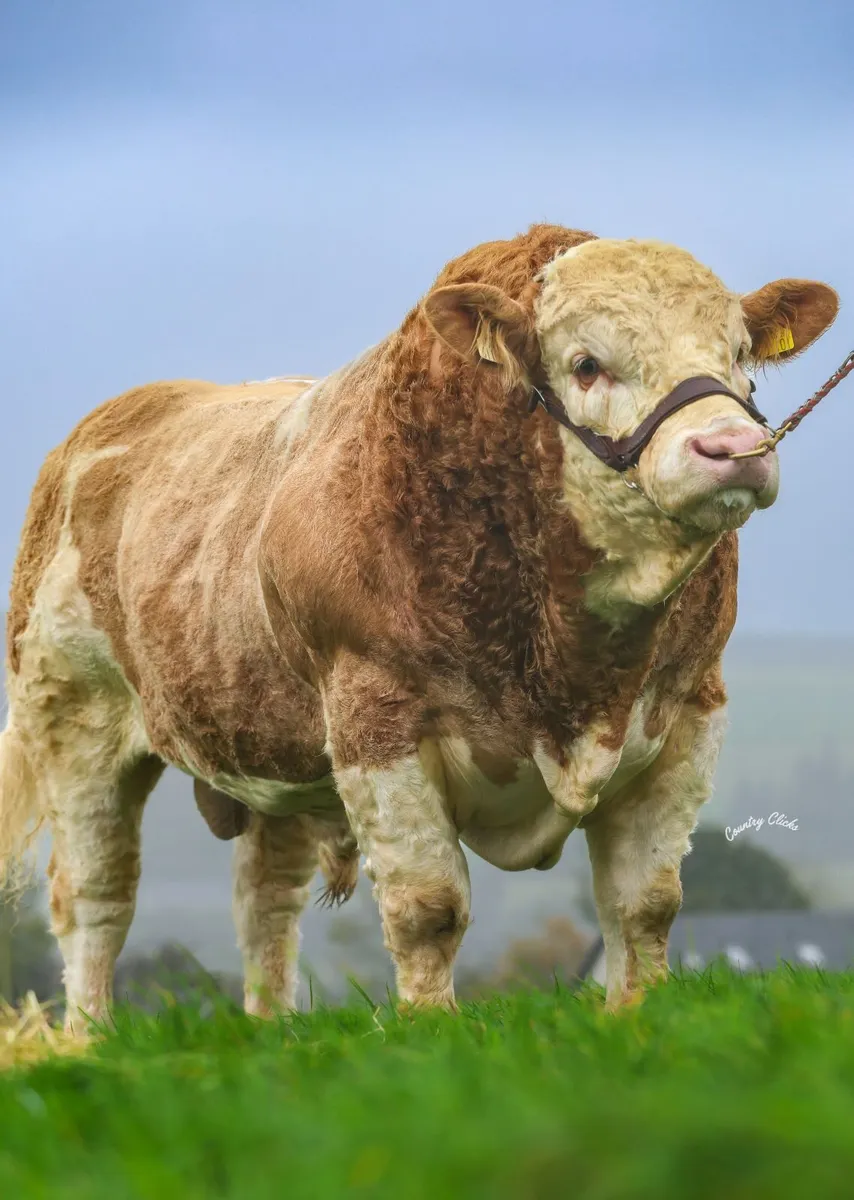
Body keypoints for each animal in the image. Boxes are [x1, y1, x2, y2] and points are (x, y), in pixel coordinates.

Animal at [0, 224, 838, 1028]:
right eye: (586, 364)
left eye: (740, 358)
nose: (732, 449)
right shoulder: (379, 721)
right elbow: (428, 908)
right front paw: (430, 1028)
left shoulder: (691, 712)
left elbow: (645, 904)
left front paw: (635, 1015)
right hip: (73, 722)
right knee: (95, 898)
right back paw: (90, 1037)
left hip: (270, 749)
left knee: (264, 903)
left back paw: (269, 1029)